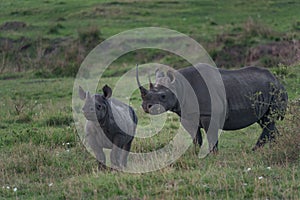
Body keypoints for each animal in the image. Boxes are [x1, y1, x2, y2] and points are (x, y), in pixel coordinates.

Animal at [137, 63, 288, 152]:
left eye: (163, 96)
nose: (146, 106)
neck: (180, 86)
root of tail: (277, 79)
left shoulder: (208, 114)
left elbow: (211, 136)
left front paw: (212, 155)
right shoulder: (188, 114)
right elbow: (195, 137)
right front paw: (196, 153)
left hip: (276, 91)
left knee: (269, 120)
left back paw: (254, 151)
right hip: (267, 90)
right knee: (265, 121)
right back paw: (274, 148)